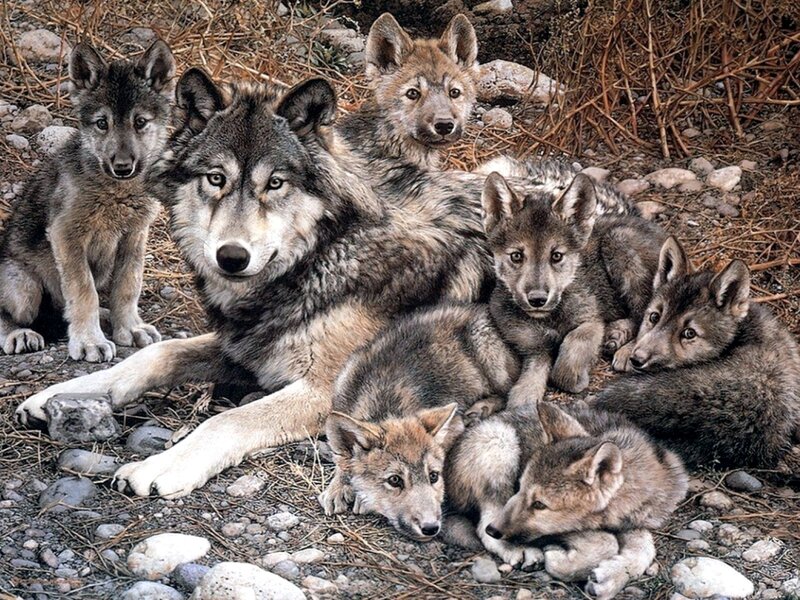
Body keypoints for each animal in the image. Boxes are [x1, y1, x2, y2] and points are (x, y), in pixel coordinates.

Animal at [0, 40, 174, 361]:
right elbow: (84, 292)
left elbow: (128, 287)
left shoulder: (134, 236)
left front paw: (129, 328)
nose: (122, 167)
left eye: (140, 122)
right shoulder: (65, 235)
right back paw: (21, 335)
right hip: (24, 287)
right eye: (101, 123)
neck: (116, 193)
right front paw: (89, 342)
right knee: (11, 315)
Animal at [16, 69, 491, 499]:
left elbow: (226, 419)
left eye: (275, 183)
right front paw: (62, 394)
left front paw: (163, 465)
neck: (325, 253)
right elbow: (154, 354)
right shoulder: (245, 345)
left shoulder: (328, 391)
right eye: (216, 178)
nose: (231, 257)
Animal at [318, 303, 520, 540]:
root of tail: (481, 308)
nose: (431, 528)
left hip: (488, 354)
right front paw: (337, 488)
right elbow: (342, 460)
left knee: (507, 392)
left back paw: (480, 409)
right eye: (395, 480)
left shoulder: (454, 425)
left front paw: (360, 498)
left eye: (434, 476)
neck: (383, 401)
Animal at [446, 402, 687, 600]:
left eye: (539, 504)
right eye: (519, 487)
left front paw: (611, 577)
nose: (494, 530)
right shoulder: (563, 528)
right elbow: (607, 542)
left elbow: (645, 550)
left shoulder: (634, 522)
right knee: (481, 525)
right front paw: (562, 562)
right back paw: (517, 549)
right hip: (500, 442)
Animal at [482, 171, 666, 406]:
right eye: (516, 256)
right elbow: (528, 382)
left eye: (556, 255)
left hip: (619, 241)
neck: (549, 317)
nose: (537, 299)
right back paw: (615, 334)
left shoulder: (590, 322)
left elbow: (569, 355)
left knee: (645, 311)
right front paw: (524, 399)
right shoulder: (534, 348)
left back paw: (625, 349)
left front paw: (576, 379)